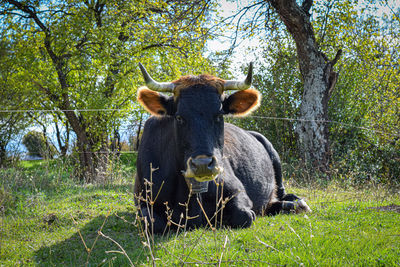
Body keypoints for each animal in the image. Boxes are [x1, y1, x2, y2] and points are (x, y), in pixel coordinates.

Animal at [134, 63, 310, 234]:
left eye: (219, 115)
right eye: (179, 117)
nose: (203, 165)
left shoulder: (237, 191)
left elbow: (244, 215)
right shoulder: (143, 200)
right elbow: (152, 222)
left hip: (274, 157)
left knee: (281, 194)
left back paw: (295, 204)